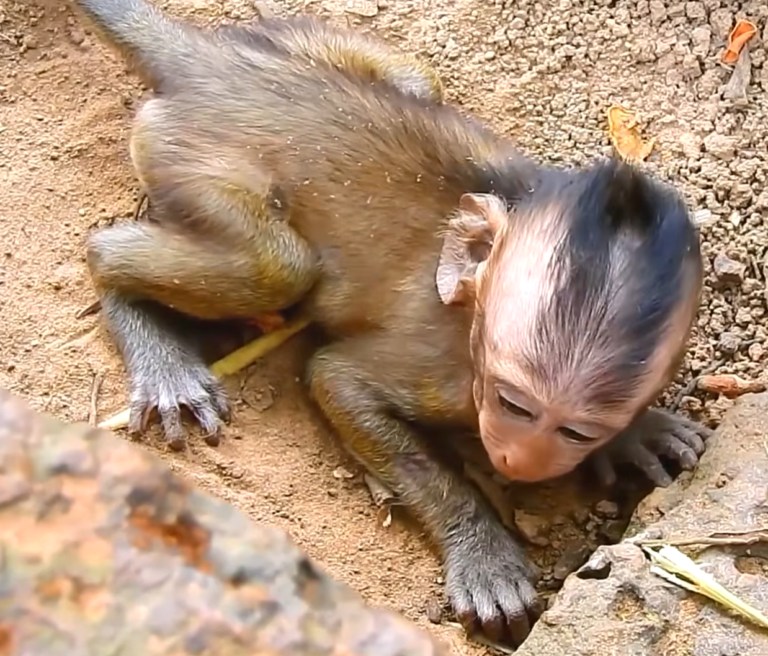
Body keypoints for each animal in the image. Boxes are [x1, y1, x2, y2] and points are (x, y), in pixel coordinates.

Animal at [71, 0, 712, 647]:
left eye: (578, 433)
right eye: (514, 406)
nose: (519, 460)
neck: (474, 319)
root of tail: (206, 64)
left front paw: (637, 431)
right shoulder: (441, 366)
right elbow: (337, 380)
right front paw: (482, 550)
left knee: (418, 82)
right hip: (185, 155)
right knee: (275, 266)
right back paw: (140, 318)